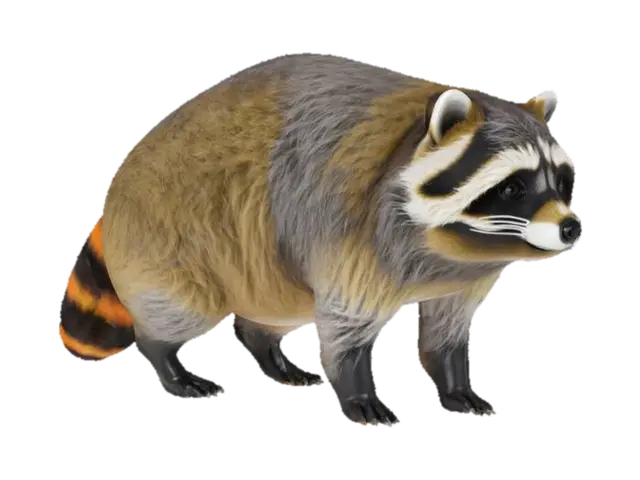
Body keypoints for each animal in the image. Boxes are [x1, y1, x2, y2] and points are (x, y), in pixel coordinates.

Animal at [57, 54, 581, 426]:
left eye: (561, 181)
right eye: (514, 187)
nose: (571, 227)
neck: (457, 248)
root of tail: (122, 181)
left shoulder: (461, 276)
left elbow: (446, 330)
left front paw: (452, 381)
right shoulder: (353, 231)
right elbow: (347, 324)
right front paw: (358, 391)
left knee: (274, 304)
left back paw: (270, 354)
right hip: (172, 232)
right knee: (181, 305)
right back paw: (167, 358)